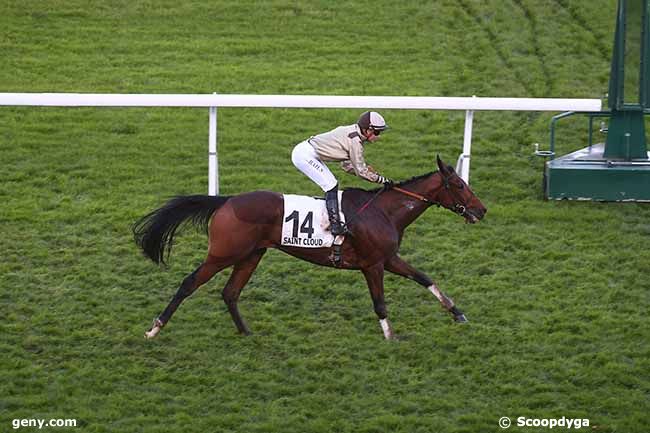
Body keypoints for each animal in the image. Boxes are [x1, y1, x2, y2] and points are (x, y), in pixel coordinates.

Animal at [134, 156, 484, 340]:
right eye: (459, 185)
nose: (481, 210)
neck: (383, 211)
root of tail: (226, 201)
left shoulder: (389, 258)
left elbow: (425, 278)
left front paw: (458, 313)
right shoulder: (373, 264)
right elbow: (380, 303)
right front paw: (390, 337)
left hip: (251, 254)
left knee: (230, 292)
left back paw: (247, 334)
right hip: (224, 253)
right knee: (189, 283)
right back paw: (154, 329)